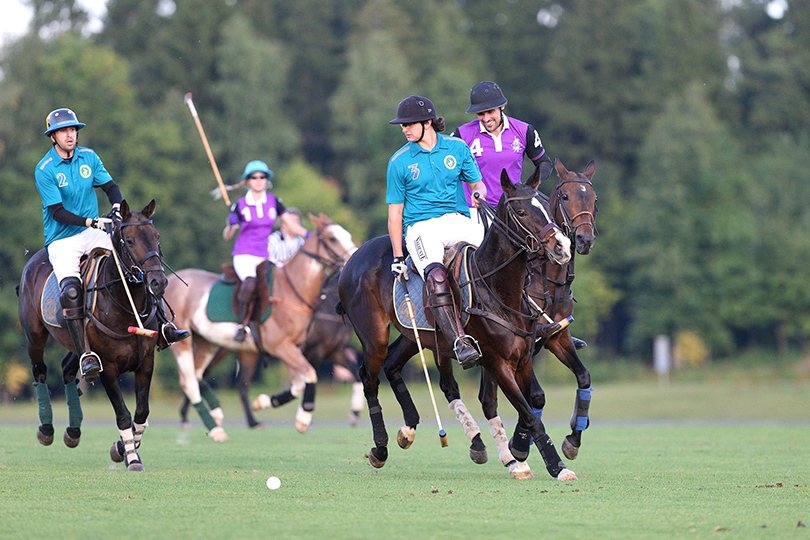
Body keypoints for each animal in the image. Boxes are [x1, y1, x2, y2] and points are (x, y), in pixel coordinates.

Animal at [18, 200, 166, 470]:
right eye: (129, 241)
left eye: (156, 236)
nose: (158, 282)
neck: (123, 304)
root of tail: (35, 259)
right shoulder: (108, 367)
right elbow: (123, 414)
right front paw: (131, 457)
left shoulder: (146, 362)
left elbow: (141, 412)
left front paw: (122, 448)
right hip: (34, 335)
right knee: (40, 370)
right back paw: (46, 429)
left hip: (76, 344)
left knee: (68, 367)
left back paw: (73, 432)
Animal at [163, 213, 356, 440]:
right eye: (332, 238)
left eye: (348, 235)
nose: (354, 257)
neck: (294, 292)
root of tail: (168, 278)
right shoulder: (285, 347)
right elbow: (310, 375)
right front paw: (304, 418)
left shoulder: (300, 349)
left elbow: (299, 384)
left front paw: (264, 402)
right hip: (186, 341)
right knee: (190, 381)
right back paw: (214, 427)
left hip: (208, 342)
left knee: (199, 375)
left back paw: (218, 415)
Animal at [338, 173, 576, 480]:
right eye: (521, 212)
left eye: (547, 206)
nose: (562, 247)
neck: (498, 289)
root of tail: (353, 258)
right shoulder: (498, 362)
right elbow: (527, 413)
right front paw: (554, 466)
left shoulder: (523, 359)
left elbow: (534, 402)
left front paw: (523, 455)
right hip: (373, 336)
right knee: (369, 378)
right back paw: (380, 449)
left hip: (418, 336)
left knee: (391, 365)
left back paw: (408, 430)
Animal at [476, 158, 596, 478]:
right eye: (565, 196)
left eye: (594, 198)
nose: (584, 239)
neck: (549, 280)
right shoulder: (525, 346)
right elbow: (533, 397)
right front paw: (521, 445)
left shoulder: (556, 337)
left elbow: (583, 377)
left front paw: (572, 440)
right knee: (488, 400)